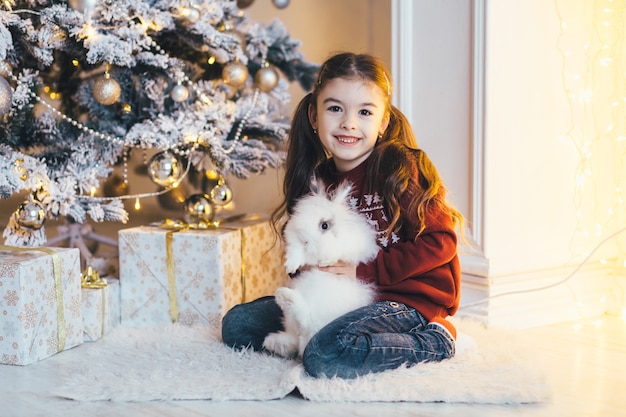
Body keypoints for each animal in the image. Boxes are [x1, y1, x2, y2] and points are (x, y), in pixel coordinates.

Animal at [260, 177, 378, 356]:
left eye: (324, 226)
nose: (305, 240)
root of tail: (305, 341)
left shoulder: (352, 246)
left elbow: (334, 252)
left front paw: (325, 260)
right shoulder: (296, 245)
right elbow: (296, 251)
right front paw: (291, 266)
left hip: (316, 321)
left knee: (304, 321)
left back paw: (285, 297)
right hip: (294, 325)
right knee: (296, 335)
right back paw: (273, 340)